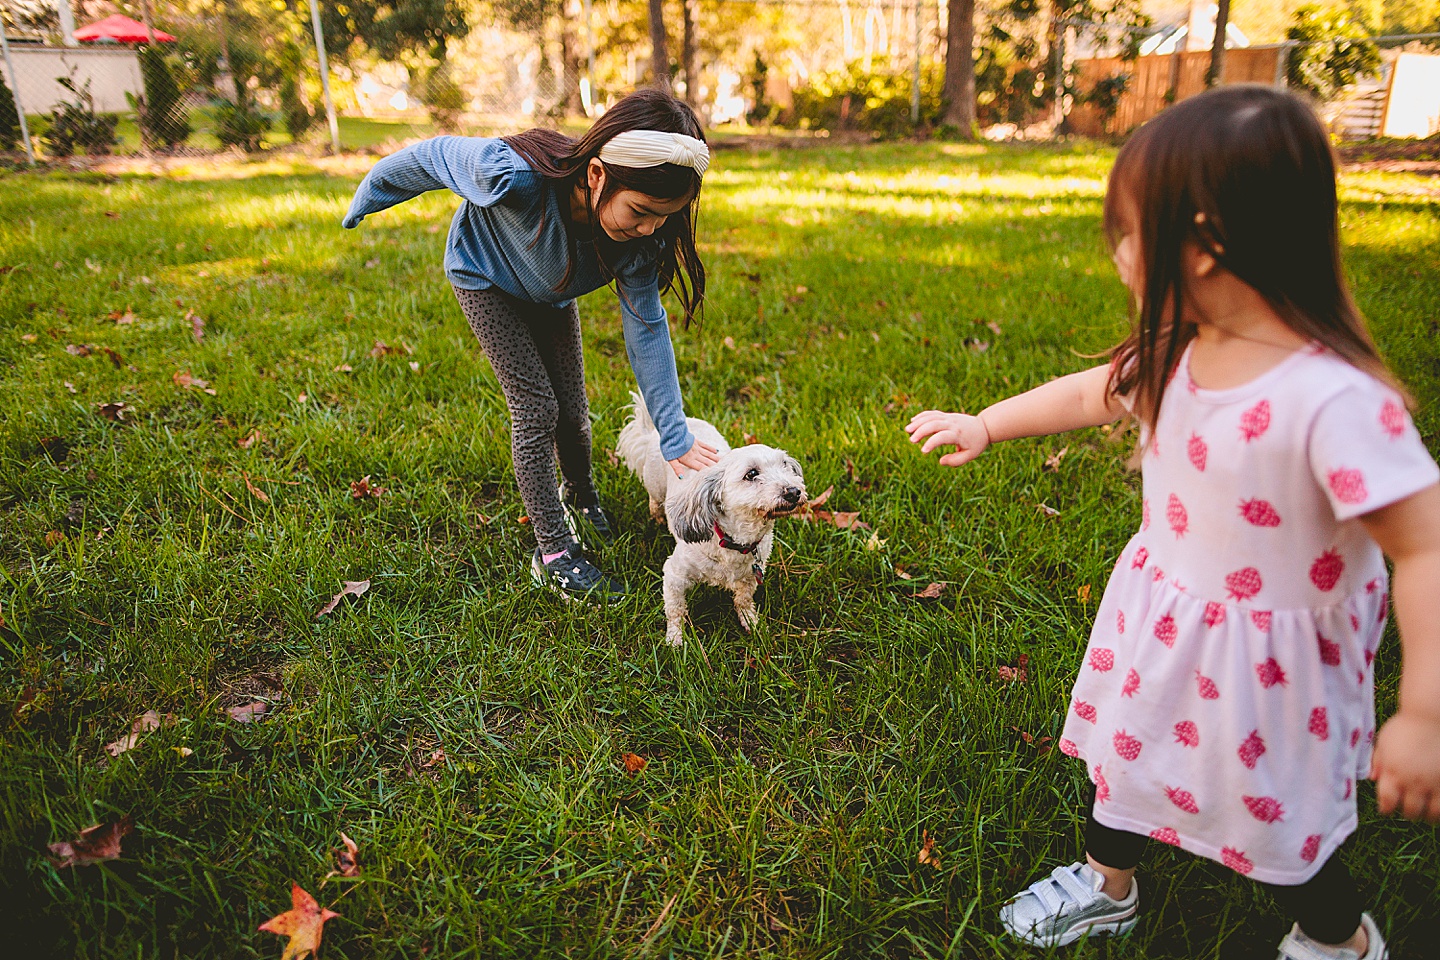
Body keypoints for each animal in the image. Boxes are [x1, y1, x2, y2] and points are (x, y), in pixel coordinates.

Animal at [613, 391, 806, 644]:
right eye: (751, 474)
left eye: (786, 466)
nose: (794, 491)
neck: (734, 544)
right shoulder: (674, 575)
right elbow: (675, 609)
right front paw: (675, 639)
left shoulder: (750, 576)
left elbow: (743, 599)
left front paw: (751, 622)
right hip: (655, 485)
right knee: (654, 502)